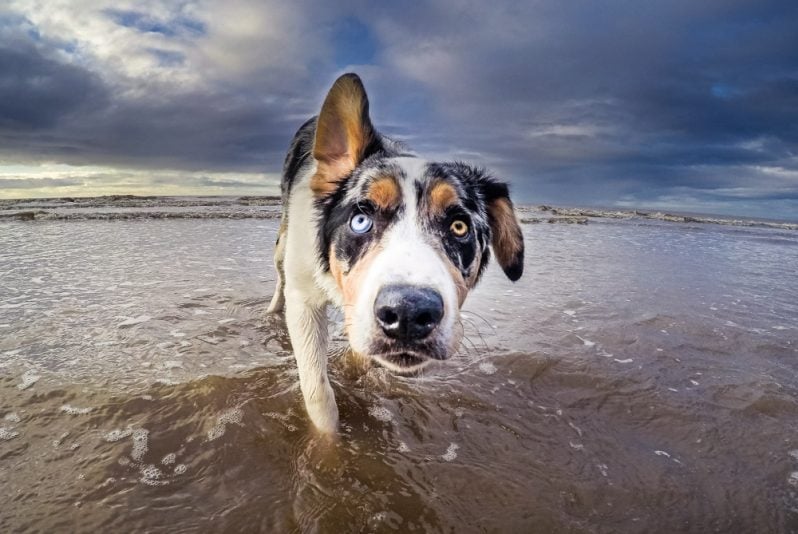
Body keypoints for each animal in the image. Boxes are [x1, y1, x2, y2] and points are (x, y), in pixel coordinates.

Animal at [268, 73, 524, 434]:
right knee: (279, 279)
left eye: (459, 227)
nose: (408, 314)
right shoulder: (304, 298)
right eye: (361, 220)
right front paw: (329, 444)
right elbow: (319, 395)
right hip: (283, 244)